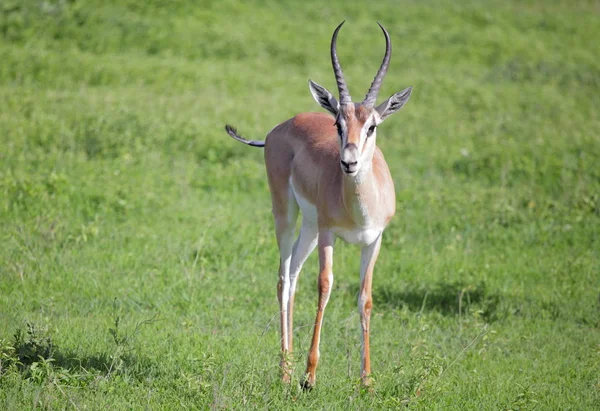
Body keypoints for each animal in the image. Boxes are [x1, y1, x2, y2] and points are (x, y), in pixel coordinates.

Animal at [225, 22, 412, 390]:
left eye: (372, 126)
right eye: (338, 124)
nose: (349, 162)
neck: (358, 208)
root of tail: (280, 127)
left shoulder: (374, 240)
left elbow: (365, 298)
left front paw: (367, 381)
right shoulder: (329, 233)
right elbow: (324, 286)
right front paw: (309, 376)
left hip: (309, 228)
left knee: (294, 275)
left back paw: (288, 366)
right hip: (286, 214)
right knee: (283, 278)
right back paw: (286, 371)